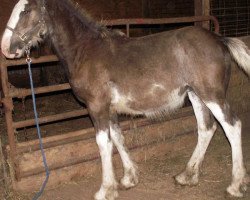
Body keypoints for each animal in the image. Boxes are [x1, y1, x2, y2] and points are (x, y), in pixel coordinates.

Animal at [0, 0, 249, 199]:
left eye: (26, 10)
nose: (5, 48)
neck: (86, 51)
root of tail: (220, 39)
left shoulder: (97, 107)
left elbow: (103, 143)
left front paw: (105, 190)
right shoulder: (109, 109)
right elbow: (118, 139)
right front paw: (129, 179)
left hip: (212, 95)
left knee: (232, 125)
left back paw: (235, 185)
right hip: (196, 95)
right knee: (206, 128)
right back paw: (187, 176)